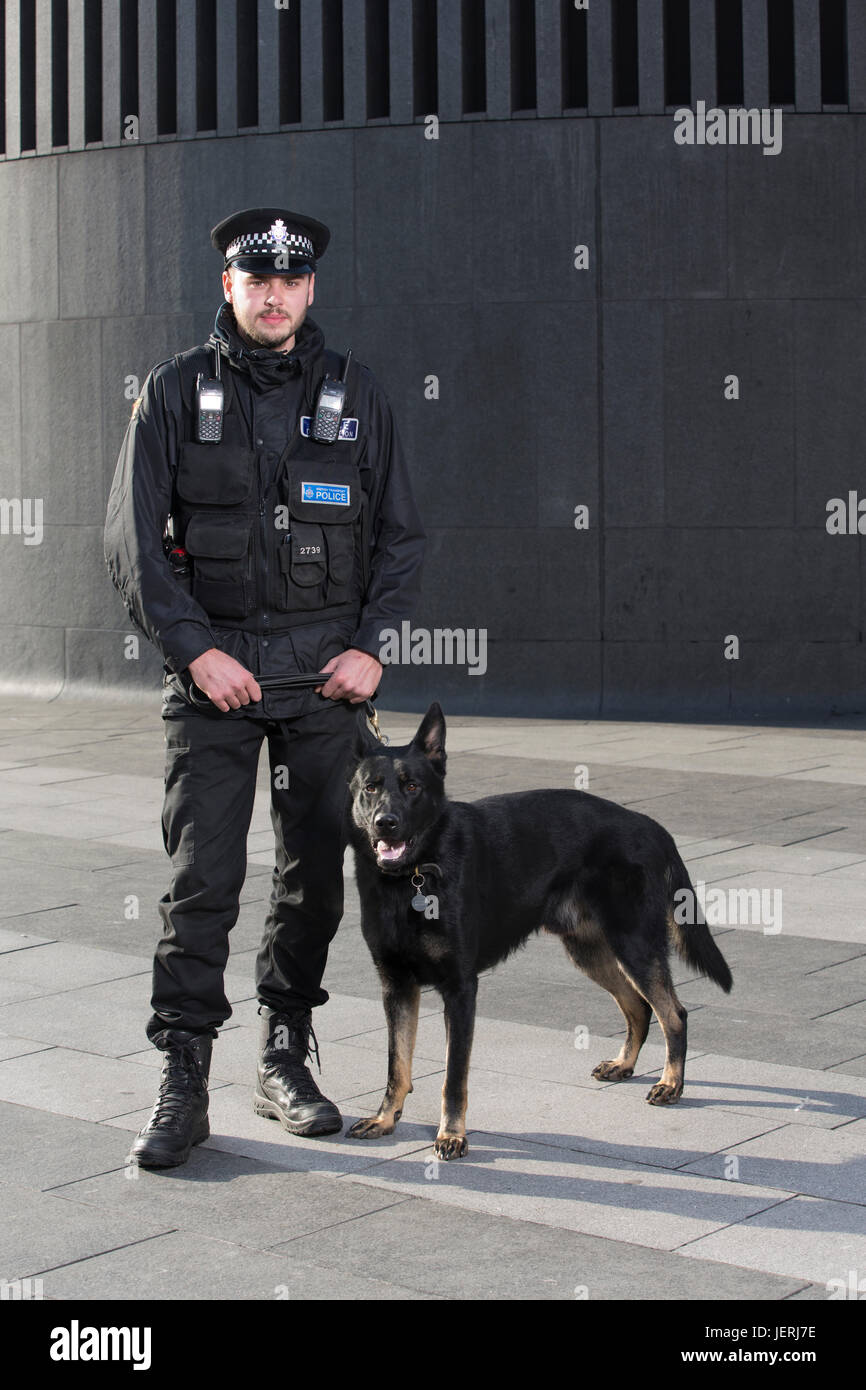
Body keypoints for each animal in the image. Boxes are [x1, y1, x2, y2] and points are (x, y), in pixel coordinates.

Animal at [346, 700, 733, 1156]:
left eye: (412, 787)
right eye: (371, 788)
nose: (385, 823)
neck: (414, 877)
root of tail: (649, 824)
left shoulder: (460, 989)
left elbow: (453, 1077)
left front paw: (452, 1134)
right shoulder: (397, 987)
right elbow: (397, 1066)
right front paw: (386, 1119)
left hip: (634, 946)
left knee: (673, 1012)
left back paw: (671, 1083)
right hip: (591, 952)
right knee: (638, 1007)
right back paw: (625, 1064)